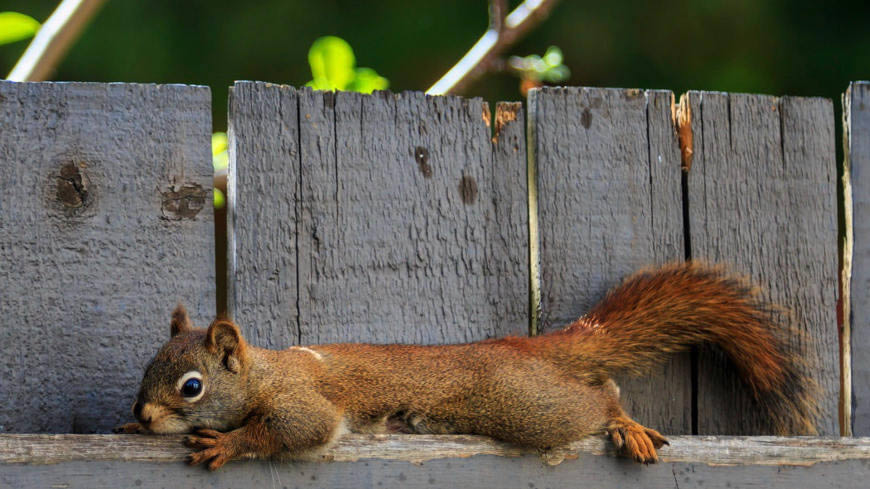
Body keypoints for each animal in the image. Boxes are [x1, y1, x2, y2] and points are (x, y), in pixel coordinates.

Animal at [114, 262, 816, 470]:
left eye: (192, 386)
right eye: (147, 367)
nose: (143, 415)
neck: (260, 371)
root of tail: (519, 347)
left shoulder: (300, 399)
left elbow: (296, 430)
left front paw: (227, 443)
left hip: (528, 407)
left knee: (598, 400)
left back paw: (625, 424)